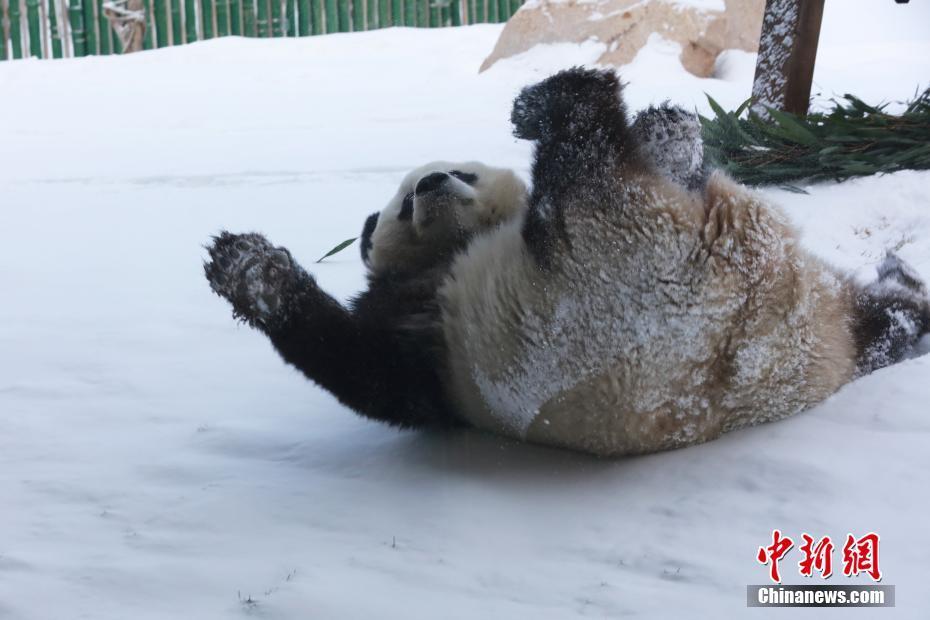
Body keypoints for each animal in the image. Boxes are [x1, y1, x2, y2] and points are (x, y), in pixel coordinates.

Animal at [205, 68, 928, 458]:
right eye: (406, 202)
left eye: (462, 171)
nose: (435, 182)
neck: (451, 248)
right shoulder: (431, 337)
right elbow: (373, 369)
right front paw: (250, 267)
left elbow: (364, 368)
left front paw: (248, 268)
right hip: (642, 275)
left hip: (609, 253)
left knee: (583, 142)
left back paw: (580, 110)